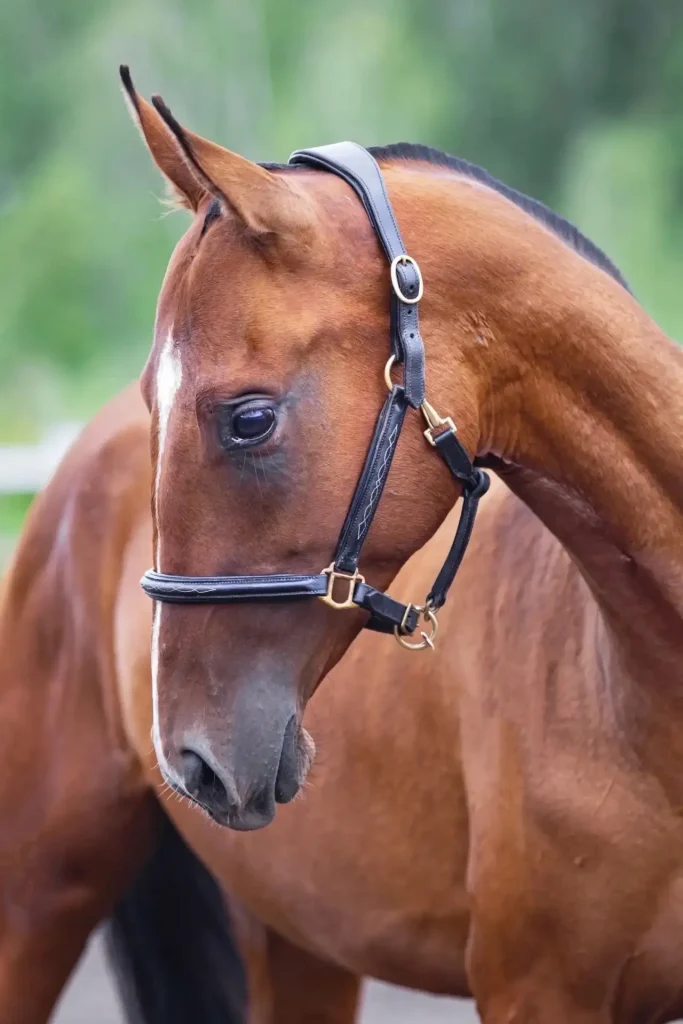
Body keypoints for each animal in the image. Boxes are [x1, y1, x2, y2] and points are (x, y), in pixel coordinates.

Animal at [0, 64, 681, 1023]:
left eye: (248, 419)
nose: (190, 760)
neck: (639, 697)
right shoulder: (537, 990)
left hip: (298, 942)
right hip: (38, 895)